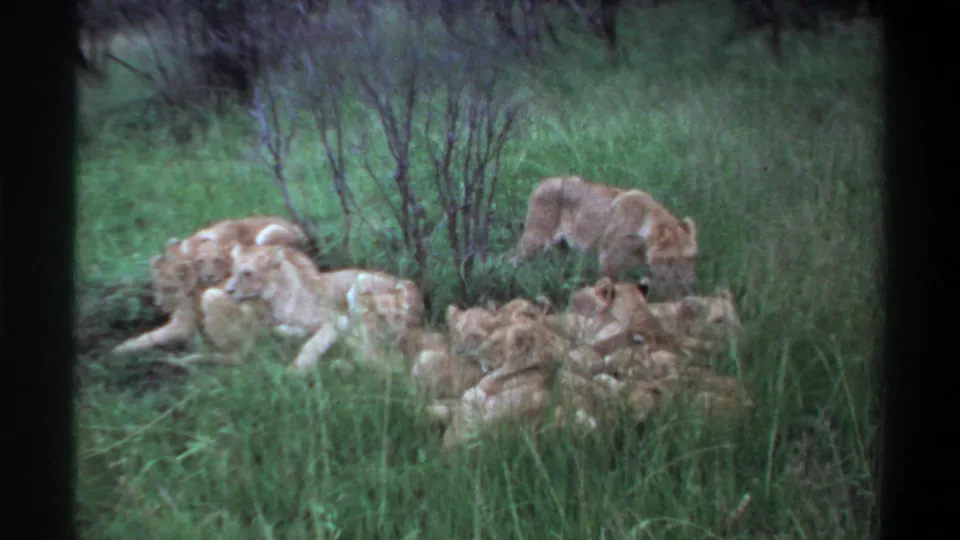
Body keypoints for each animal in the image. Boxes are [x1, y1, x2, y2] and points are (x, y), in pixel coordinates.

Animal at [224, 243, 424, 373]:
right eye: (232, 271)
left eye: (248, 273)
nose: (228, 290)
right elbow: (278, 330)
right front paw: (295, 334)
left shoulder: (338, 320)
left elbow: (312, 344)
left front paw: (296, 370)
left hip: (361, 285)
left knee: (382, 361)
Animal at [508, 176, 699, 300]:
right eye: (672, 259)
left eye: (690, 258)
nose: (688, 282)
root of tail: (543, 182)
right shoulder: (609, 261)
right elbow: (613, 289)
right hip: (536, 240)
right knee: (511, 260)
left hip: (562, 250)